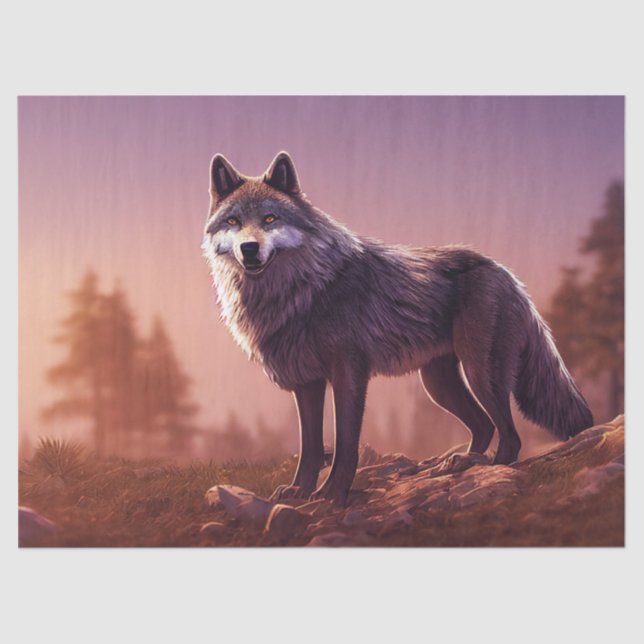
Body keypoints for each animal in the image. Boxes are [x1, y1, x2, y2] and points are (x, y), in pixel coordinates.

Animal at [202, 151, 594, 505]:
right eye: (234, 221)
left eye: (270, 218)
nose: (249, 249)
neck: (301, 291)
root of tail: (506, 273)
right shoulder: (307, 382)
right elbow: (310, 446)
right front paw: (299, 491)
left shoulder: (349, 373)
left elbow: (345, 444)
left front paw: (332, 494)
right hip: (438, 384)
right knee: (484, 426)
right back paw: (458, 463)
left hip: (480, 374)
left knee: (510, 436)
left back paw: (488, 471)